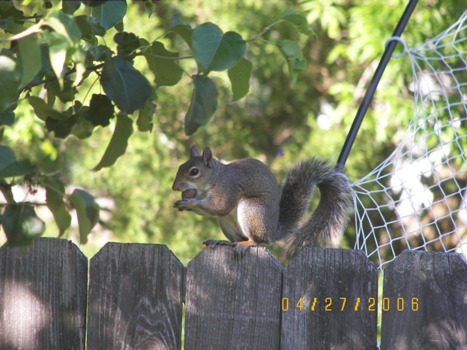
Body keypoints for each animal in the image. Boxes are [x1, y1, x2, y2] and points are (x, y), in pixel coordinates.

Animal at [171, 145, 352, 258]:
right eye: (179, 166)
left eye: (194, 171)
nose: (174, 187)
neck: (216, 177)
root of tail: (273, 231)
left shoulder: (227, 188)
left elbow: (219, 207)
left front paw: (188, 203)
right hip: (227, 222)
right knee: (236, 239)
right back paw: (223, 242)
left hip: (252, 211)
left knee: (259, 241)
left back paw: (247, 243)